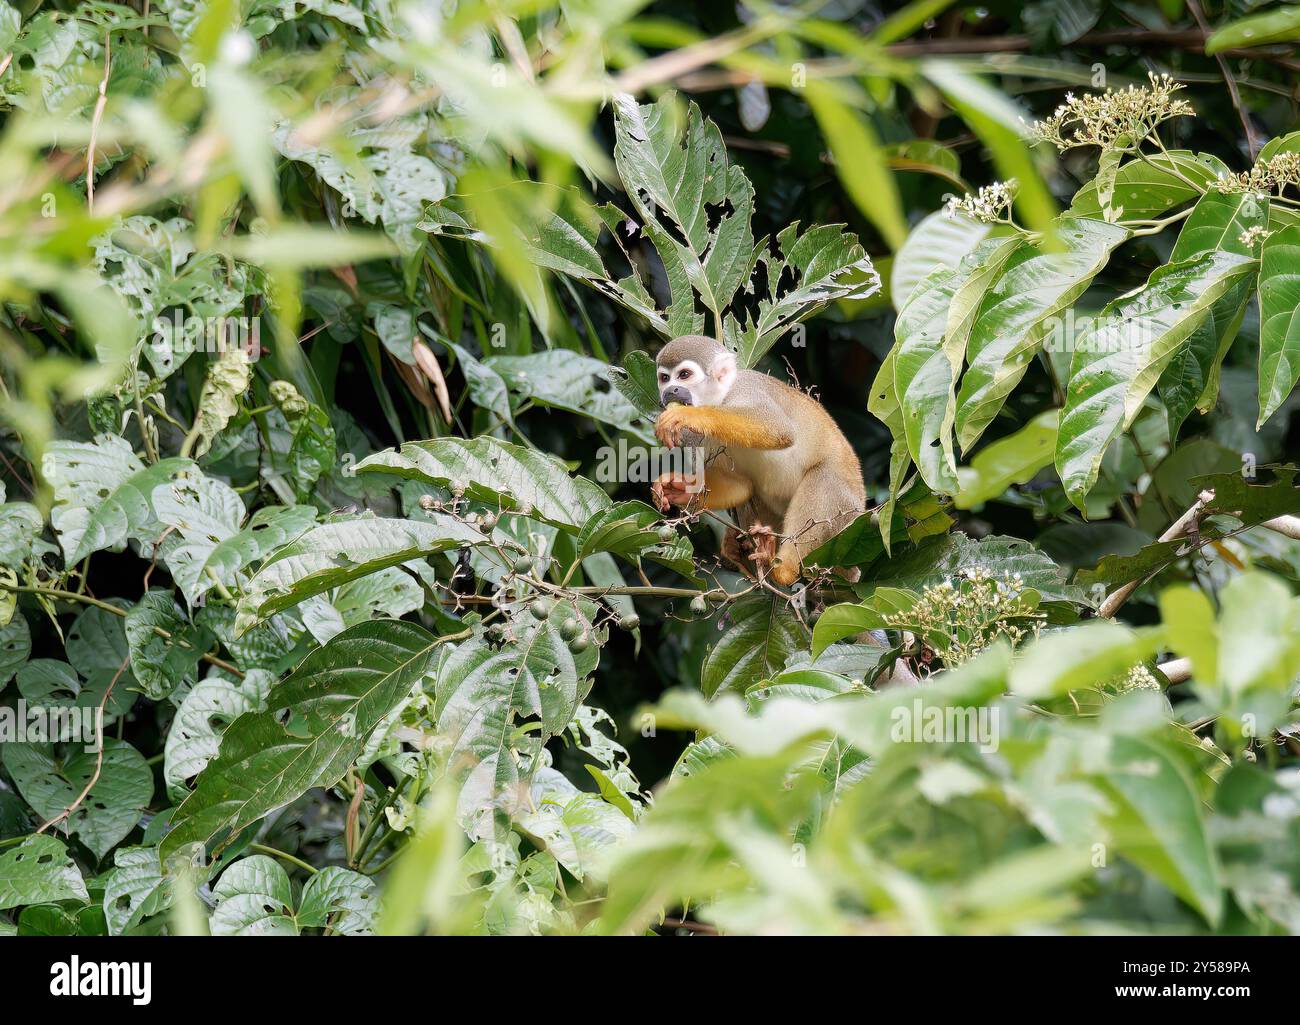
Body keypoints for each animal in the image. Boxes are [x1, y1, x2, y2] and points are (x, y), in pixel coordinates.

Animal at [649, 334, 866, 587]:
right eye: (664, 378)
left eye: (684, 375)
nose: (670, 391)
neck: (721, 398)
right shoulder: (696, 438)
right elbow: (739, 485)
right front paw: (677, 488)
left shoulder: (747, 388)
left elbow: (776, 429)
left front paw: (689, 415)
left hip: (845, 520)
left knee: (824, 481)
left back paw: (782, 569)